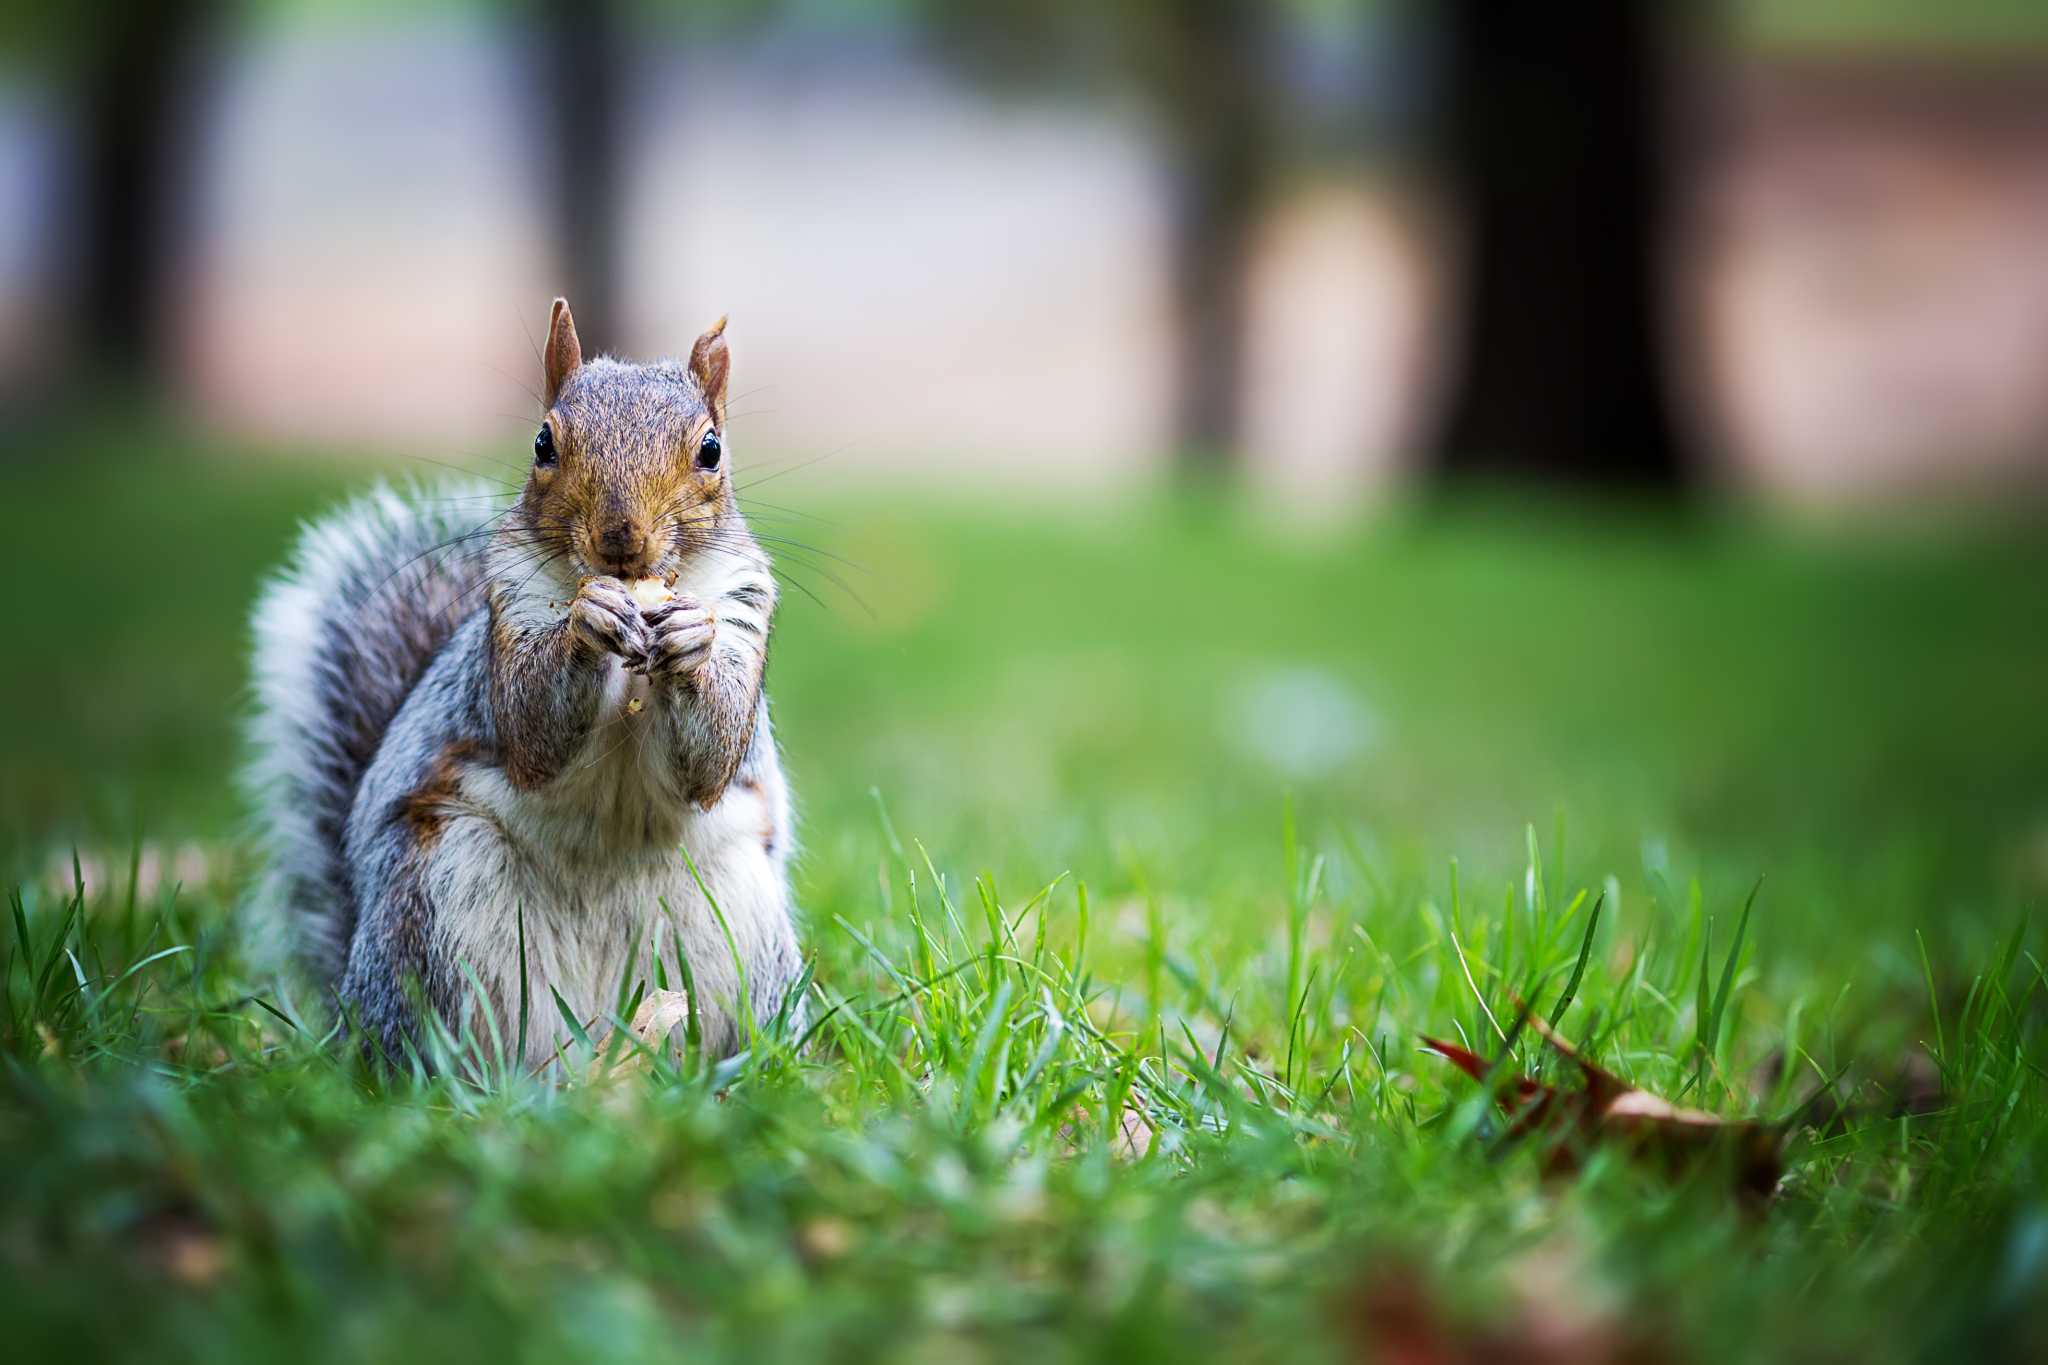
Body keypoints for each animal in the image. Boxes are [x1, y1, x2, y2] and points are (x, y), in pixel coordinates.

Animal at [244, 298, 802, 1068]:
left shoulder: (745, 608)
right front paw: (585, 622)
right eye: (543, 442)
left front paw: (692, 638)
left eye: (712, 449)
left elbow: (712, 756)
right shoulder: (504, 619)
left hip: (738, 932)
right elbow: (531, 726)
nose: (620, 538)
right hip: (434, 917)